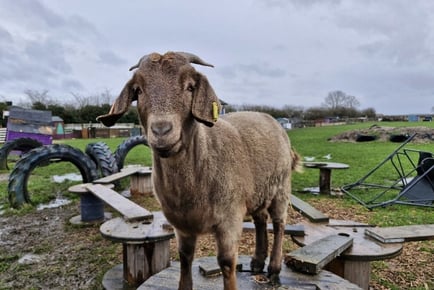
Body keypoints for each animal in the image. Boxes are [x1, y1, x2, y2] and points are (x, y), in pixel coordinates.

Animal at [97, 51, 302, 288]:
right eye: (138, 90)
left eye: (189, 87)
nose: (161, 130)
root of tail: (272, 120)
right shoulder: (182, 225)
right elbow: (185, 258)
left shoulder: (229, 218)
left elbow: (226, 263)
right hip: (257, 192)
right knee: (261, 220)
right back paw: (258, 262)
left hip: (281, 187)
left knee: (279, 223)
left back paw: (275, 269)